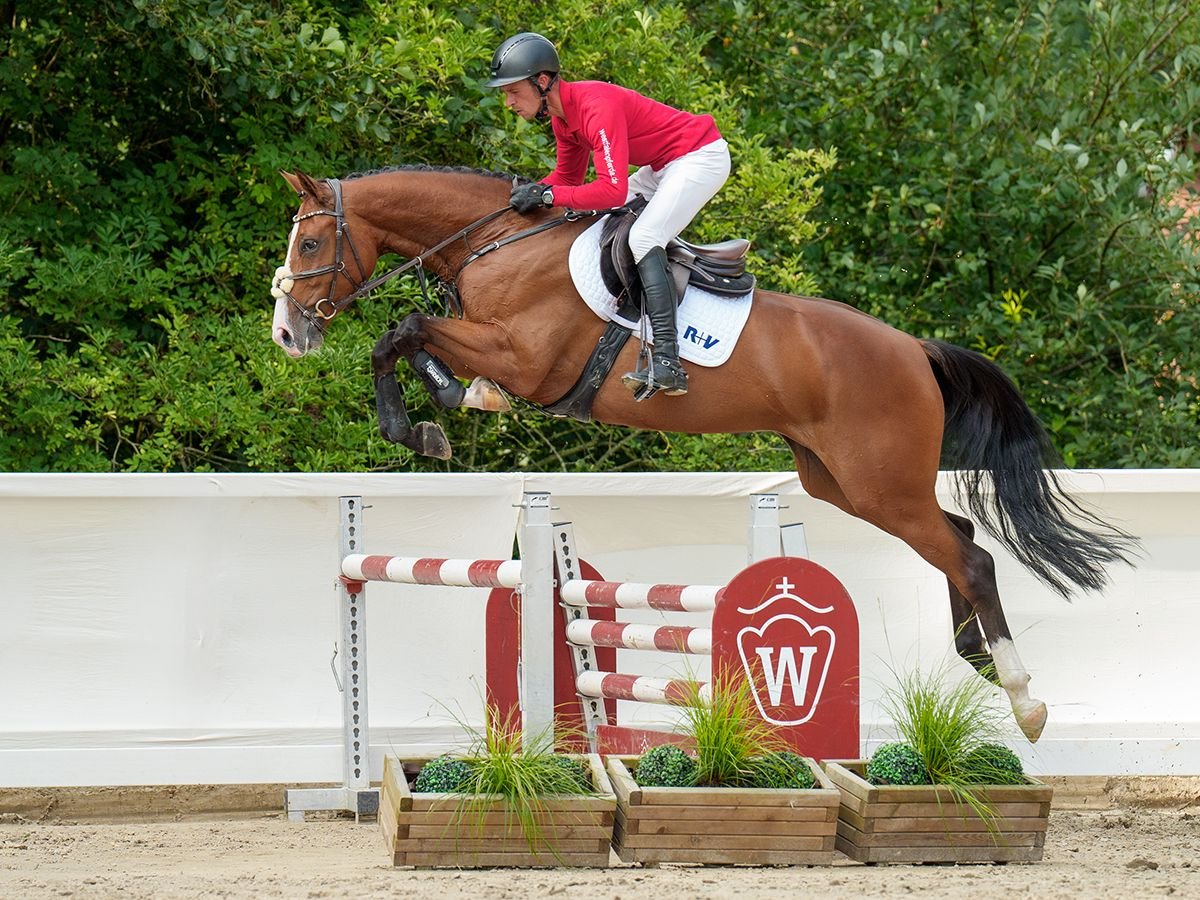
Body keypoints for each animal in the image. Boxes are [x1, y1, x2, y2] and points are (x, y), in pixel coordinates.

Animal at [270, 165, 1132, 744]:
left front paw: (426, 417)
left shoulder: (526, 356)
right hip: (844, 482)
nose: (286, 333)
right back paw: (977, 657)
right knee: (960, 537)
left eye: (310, 241)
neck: (494, 241)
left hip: (878, 482)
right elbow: (411, 338)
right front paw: (442, 412)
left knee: (970, 556)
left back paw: (1024, 699)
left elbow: (404, 330)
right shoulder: (492, 344)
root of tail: (914, 349)